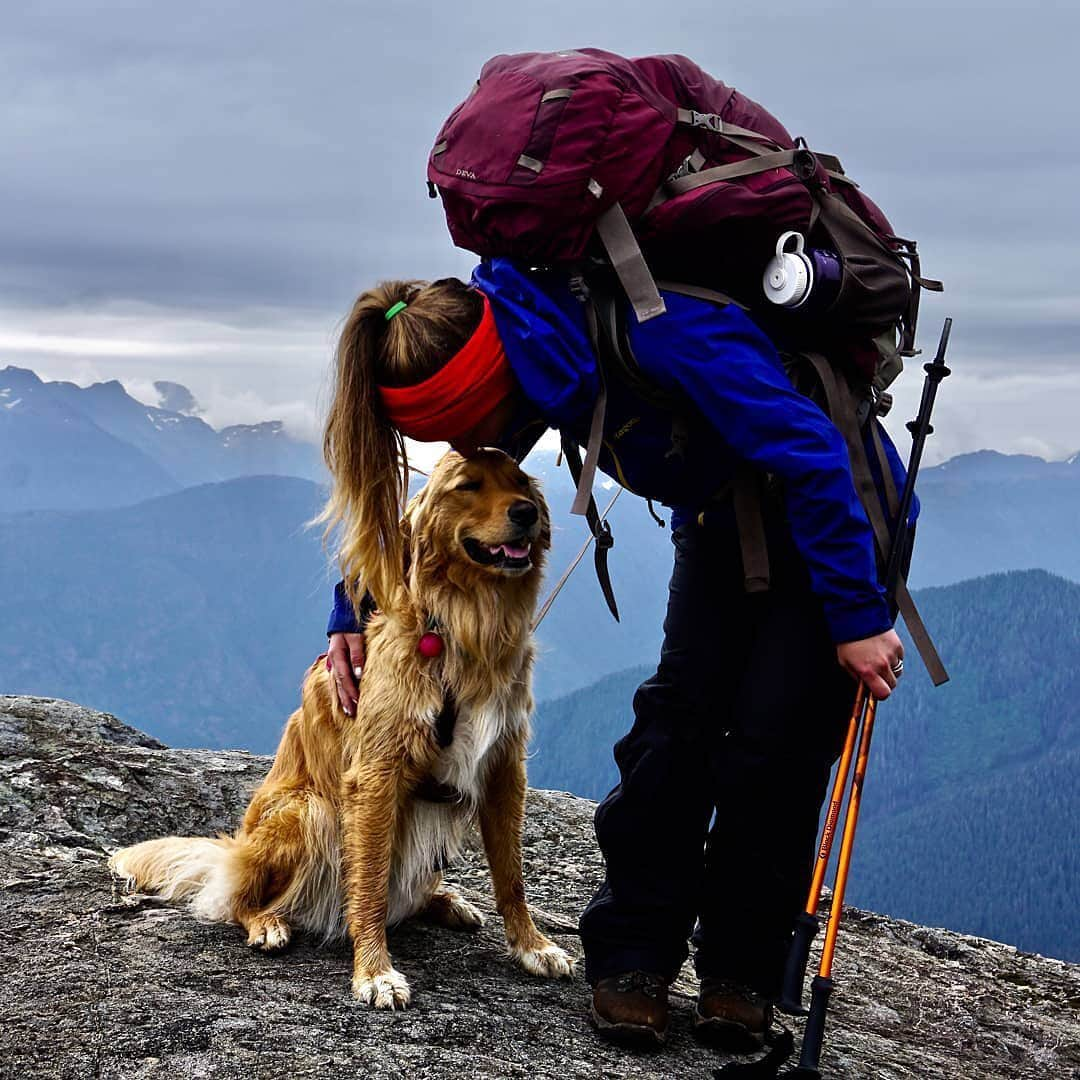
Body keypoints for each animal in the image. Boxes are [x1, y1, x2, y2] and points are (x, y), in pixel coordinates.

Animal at [111, 444, 574, 1002]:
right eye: (468, 485)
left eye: (521, 483)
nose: (526, 513)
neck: (466, 627)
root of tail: (235, 852)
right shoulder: (375, 774)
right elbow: (369, 882)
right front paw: (374, 970)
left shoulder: (504, 765)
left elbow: (512, 875)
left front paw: (533, 945)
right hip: (306, 813)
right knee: (241, 900)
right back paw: (268, 921)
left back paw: (446, 901)